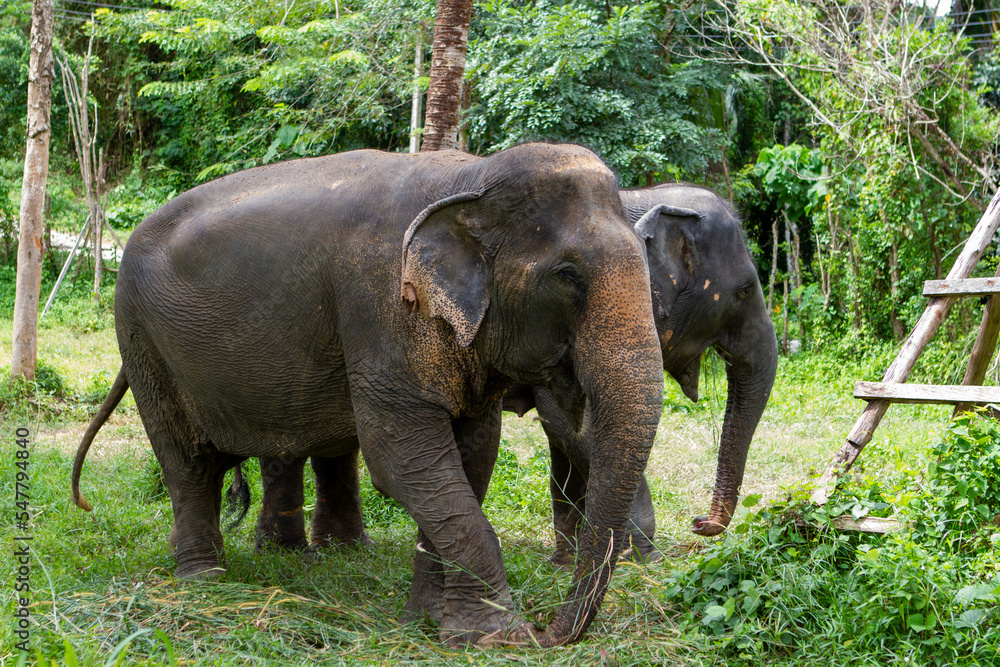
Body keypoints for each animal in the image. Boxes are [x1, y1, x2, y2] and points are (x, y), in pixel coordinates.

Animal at [71, 143, 665, 647]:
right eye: (567, 275)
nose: (550, 633)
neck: (473, 177)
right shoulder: (380, 309)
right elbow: (402, 460)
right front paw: (493, 637)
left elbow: (471, 459)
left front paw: (429, 622)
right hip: (142, 339)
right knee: (188, 462)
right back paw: (204, 582)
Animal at [230, 182, 778, 566]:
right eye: (744, 291)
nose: (701, 523)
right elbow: (574, 431)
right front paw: (641, 557)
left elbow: (566, 440)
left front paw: (569, 560)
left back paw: (316, 550)